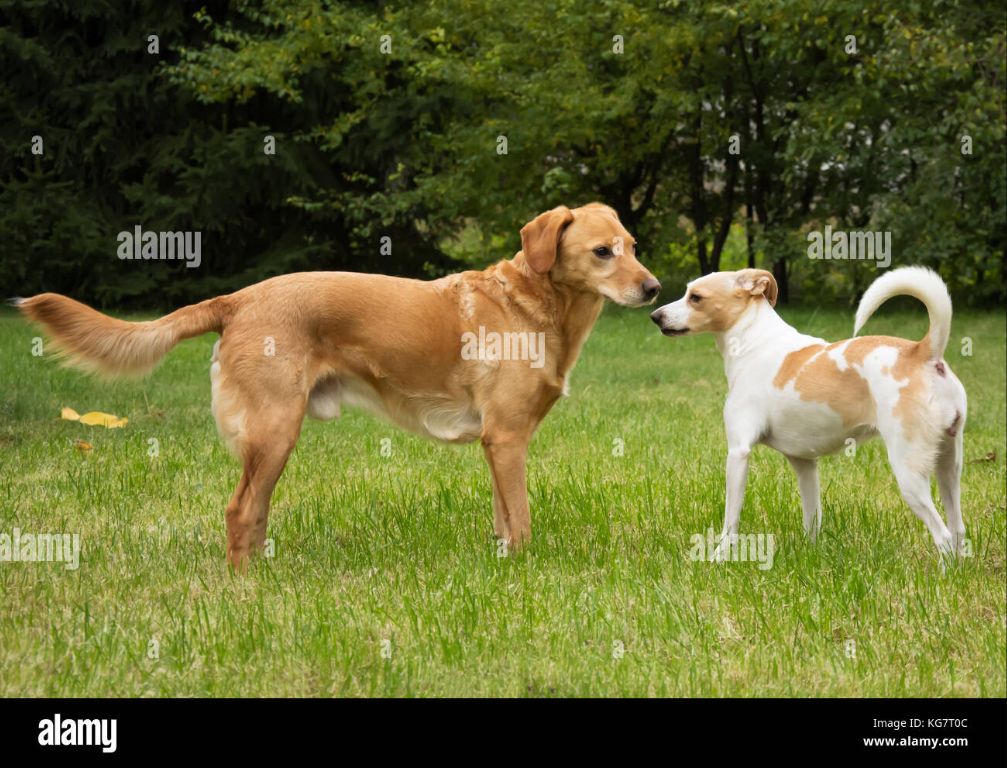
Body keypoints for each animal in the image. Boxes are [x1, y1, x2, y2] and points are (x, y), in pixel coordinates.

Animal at [17, 202, 660, 563]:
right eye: (602, 252)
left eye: (632, 247)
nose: (654, 291)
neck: (538, 304)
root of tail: (239, 298)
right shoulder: (505, 438)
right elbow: (520, 519)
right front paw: (521, 571)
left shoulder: (499, 442)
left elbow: (504, 520)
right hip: (276, 430)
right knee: (238, 511)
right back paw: (244, 589)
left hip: (273, 440)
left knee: (254, 514)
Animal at [652, 267, 966, 563]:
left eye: (695, 297)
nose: (655, 315)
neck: (755, 343)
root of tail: (923, 352)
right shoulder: (804, 463)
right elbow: (812, 517)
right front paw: (811, 555)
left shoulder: (738, 452)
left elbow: (731, 520)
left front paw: (719, 557)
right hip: (949, 466)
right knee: (958, 529)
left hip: (909, 472)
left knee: (943, 535)